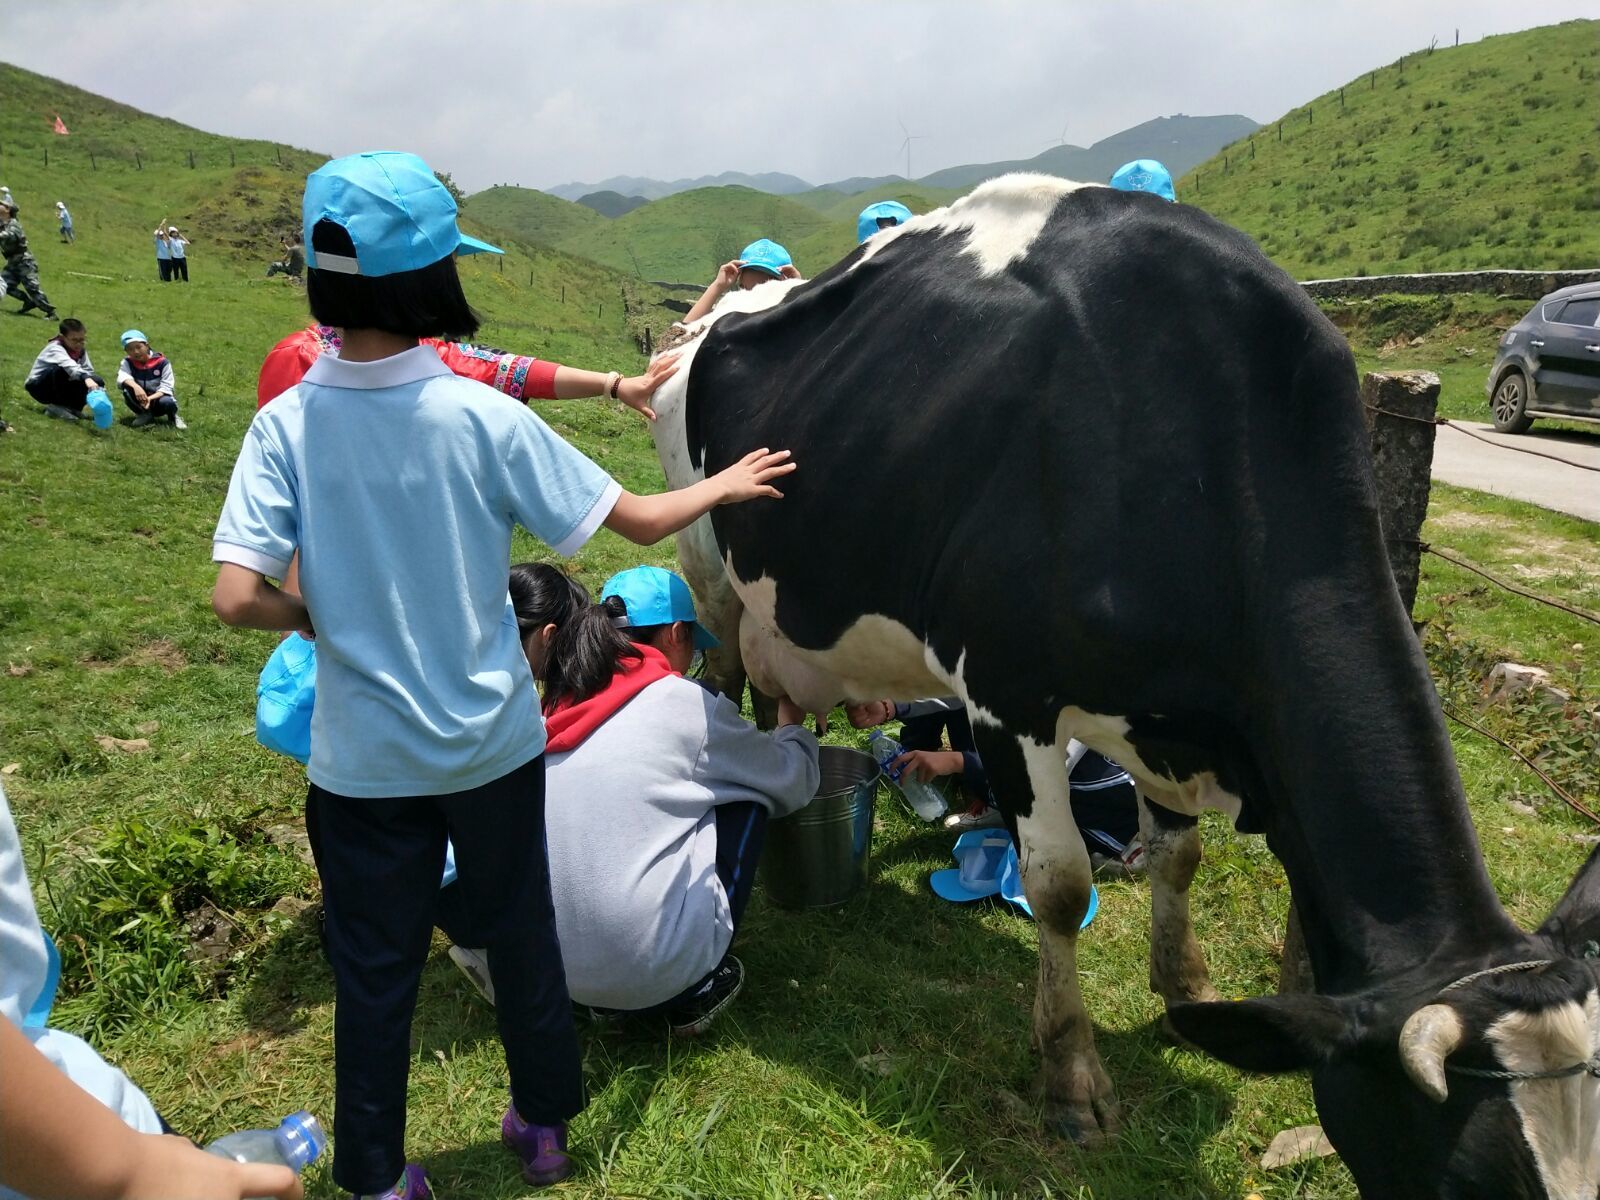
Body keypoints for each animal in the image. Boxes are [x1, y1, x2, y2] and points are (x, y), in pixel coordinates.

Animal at [649, 171, 1600, 1200]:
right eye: (1476, 1182)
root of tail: (719, 316)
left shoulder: (1173, 719)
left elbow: (1177, 859)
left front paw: (1187, 989)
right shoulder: (1008, 692)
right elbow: (1060, 888)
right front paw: (1073, 1080)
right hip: (709, 564)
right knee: (728, 688)